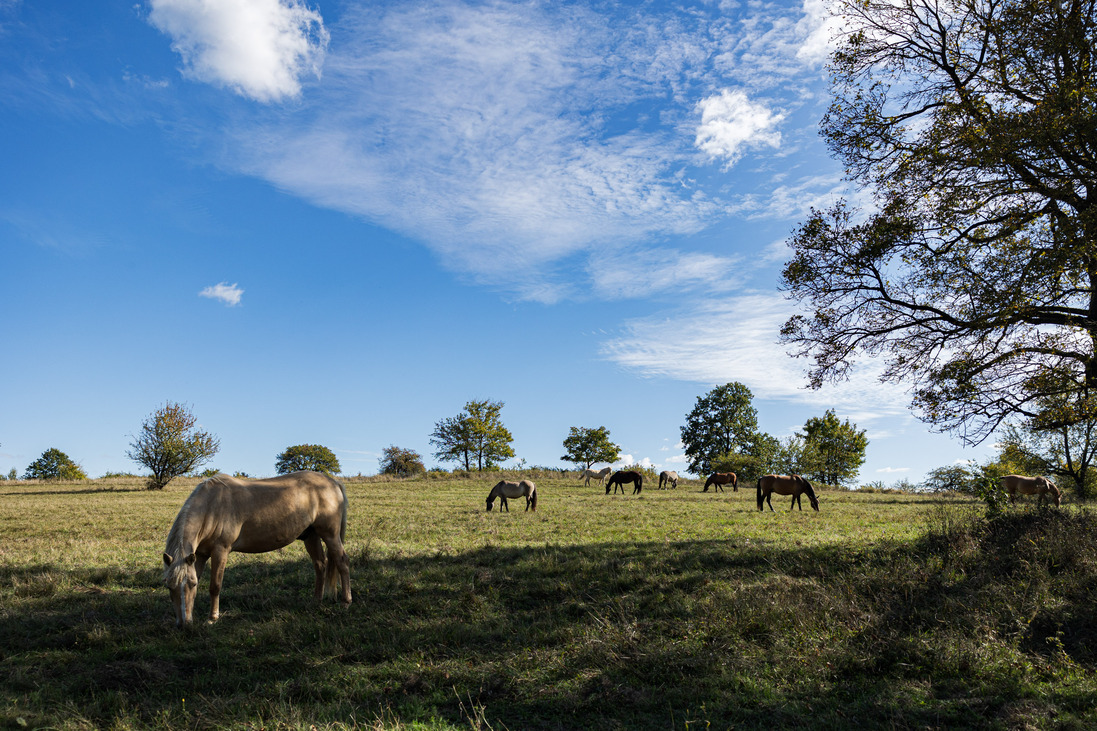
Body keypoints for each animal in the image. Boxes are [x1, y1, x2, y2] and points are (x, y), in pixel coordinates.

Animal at [160, 471, 351, 627]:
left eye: (191, 585)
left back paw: (346, 601)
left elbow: (215, 586)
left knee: (342, 562)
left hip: (330, 535)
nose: (183, 624)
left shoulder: (220, 551)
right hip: (311, 536)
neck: (211, 506)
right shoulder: (199, 555)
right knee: (320, 564)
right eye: (169, 586)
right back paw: (316, 601)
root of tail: (333, 482)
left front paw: (212, 618)